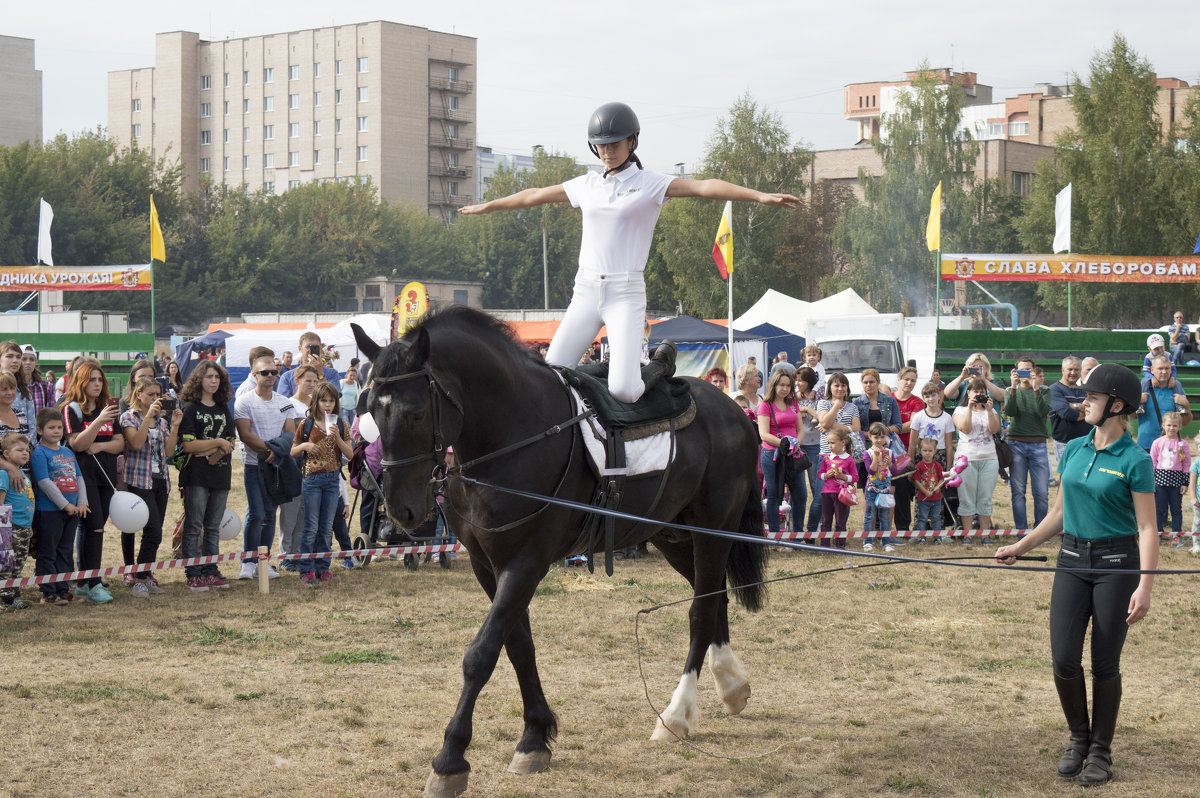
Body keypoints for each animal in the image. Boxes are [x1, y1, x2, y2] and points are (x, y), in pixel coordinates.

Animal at [352, 306, 768, 796]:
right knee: (714, 597)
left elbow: (481, 654)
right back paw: (732, 685)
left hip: (712, 531)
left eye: (416, 413)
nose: (402, 509)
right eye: (368, 410)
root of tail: (734, 408)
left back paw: (676, 714)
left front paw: (450, 759)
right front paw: (535, 737)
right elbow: (518, 646)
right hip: (675, 537)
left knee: (701, 611)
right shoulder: (487, 565)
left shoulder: (525, 563)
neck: (511, 432)